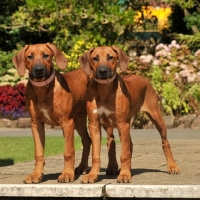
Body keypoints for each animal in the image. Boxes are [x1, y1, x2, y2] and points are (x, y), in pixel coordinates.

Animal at [12, 43, 90, 184]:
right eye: (30, 56)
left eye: (46, 55)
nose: (38, 70)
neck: (42, 89)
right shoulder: (36, 124)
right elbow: (38, 152)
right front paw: (36, 175)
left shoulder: (67, 123)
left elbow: (68, 151)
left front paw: (67, 174)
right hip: (79, 119)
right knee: (87, 141)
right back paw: (82, 167)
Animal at [79, 45, 180, 183]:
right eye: (95, 58)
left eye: (110, 57)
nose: (103, 71)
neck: (104, 90)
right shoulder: (94, 124)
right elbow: (96, 154)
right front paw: (92, 175)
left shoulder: (123, 124)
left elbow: (125, 154)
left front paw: (124, 175)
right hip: (109, 124)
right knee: (113, 141)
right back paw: (114, 168)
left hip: (156, 117)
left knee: (165, 143)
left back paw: (172, 166)